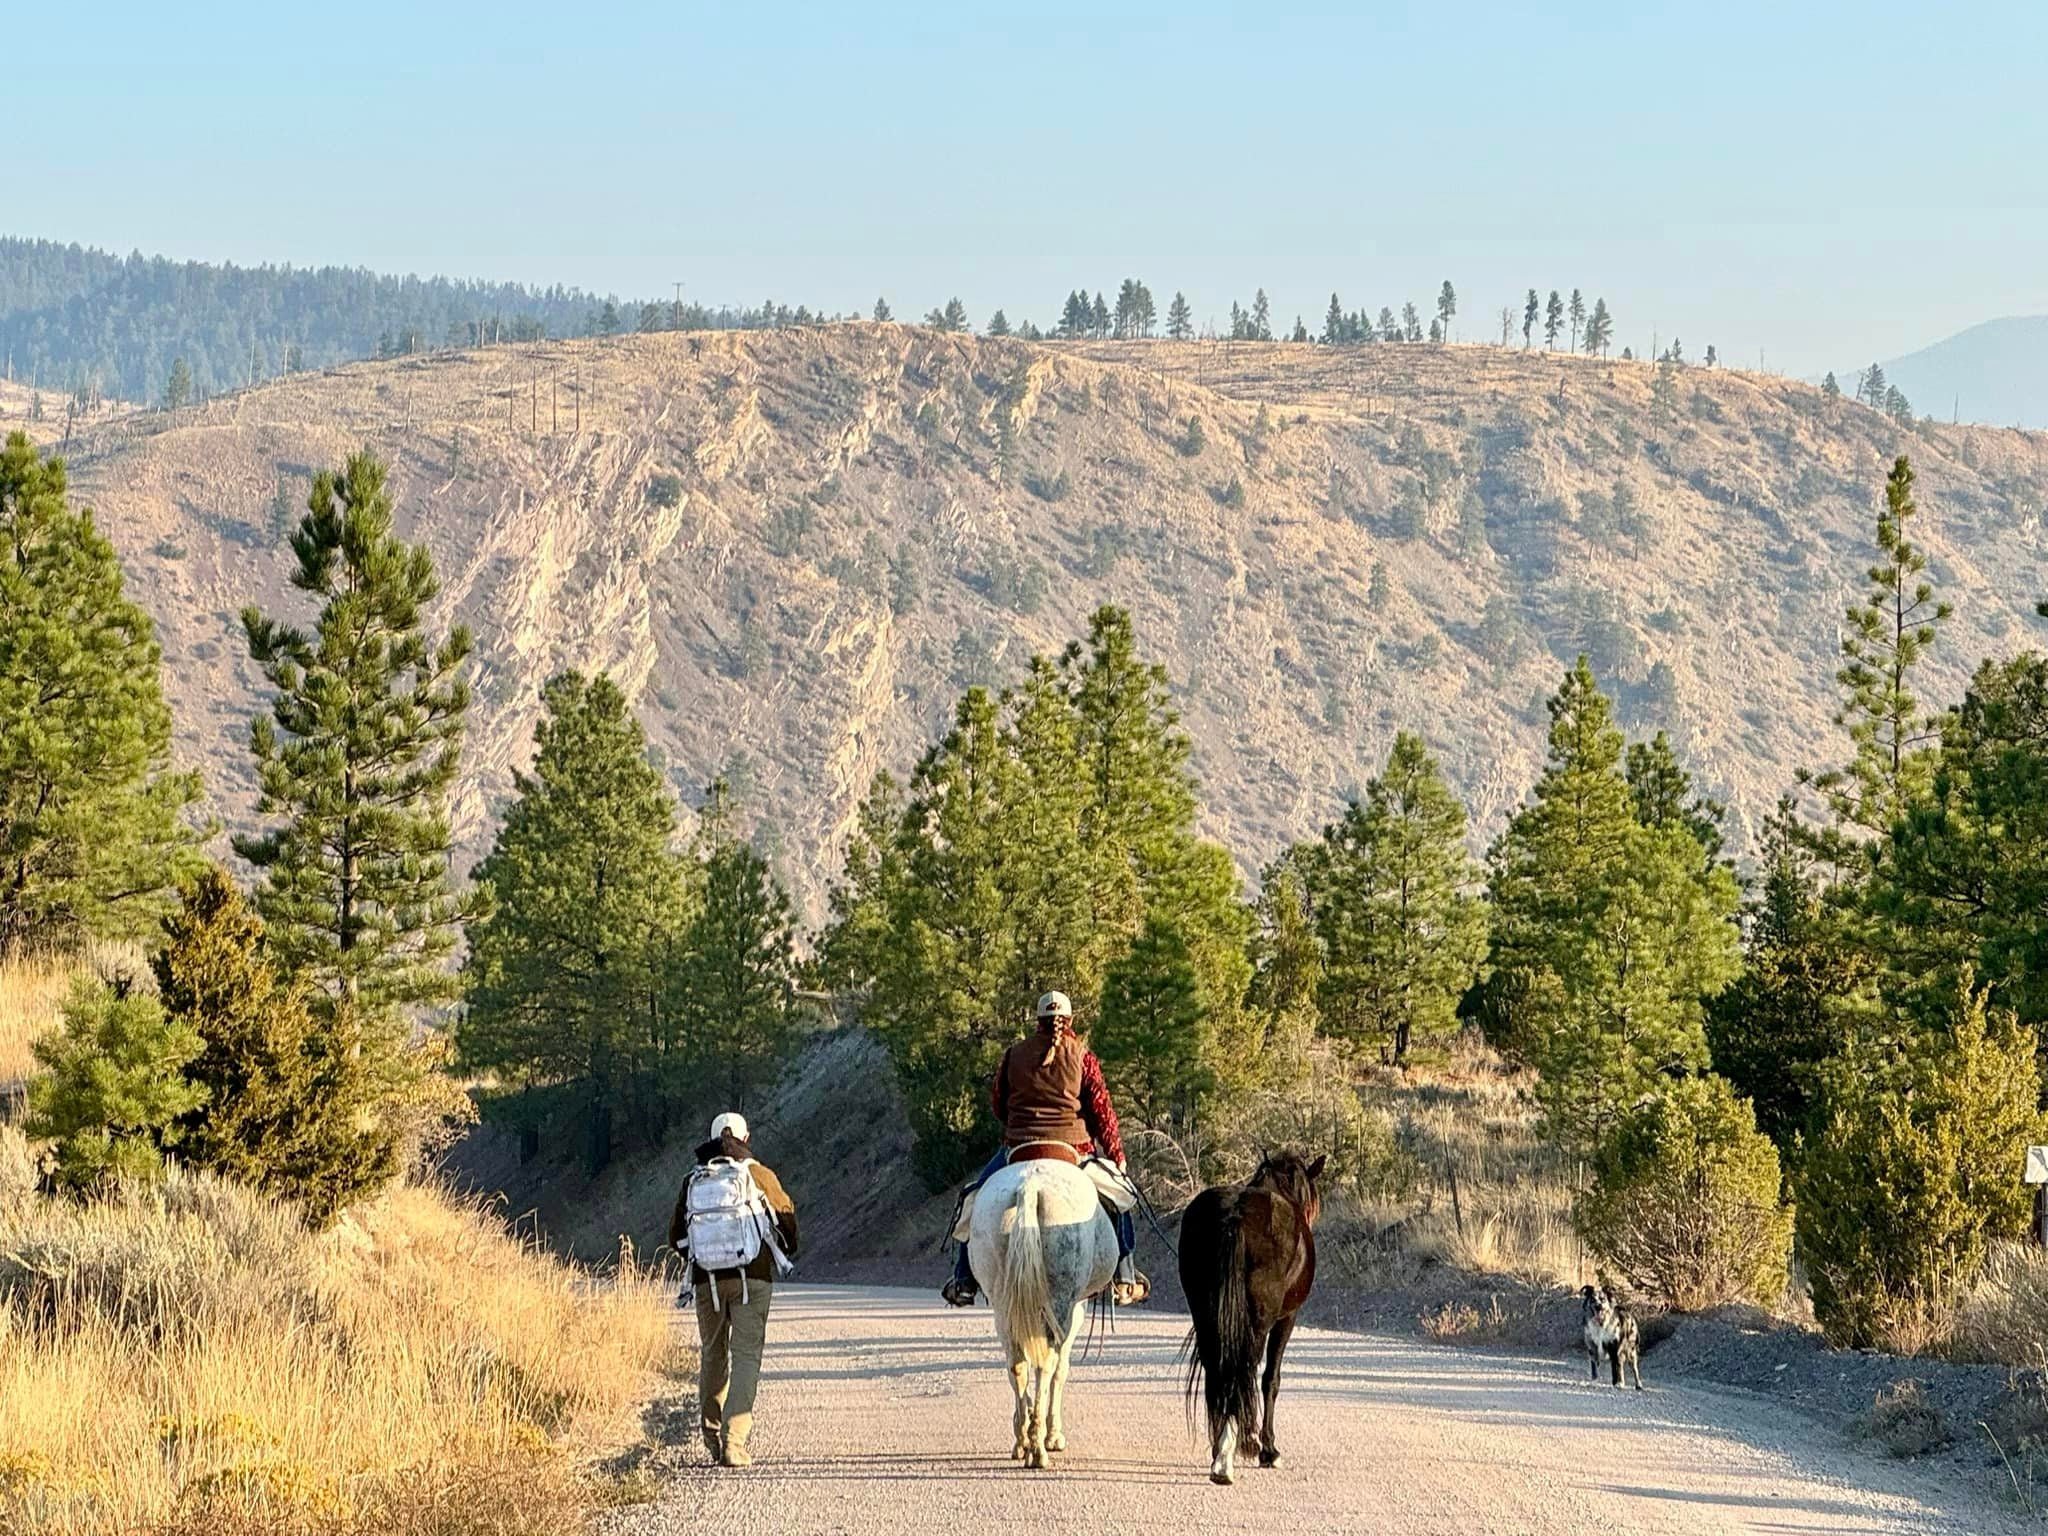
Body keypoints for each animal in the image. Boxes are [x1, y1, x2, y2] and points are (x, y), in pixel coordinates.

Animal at [962, 1163, 1114, 1474]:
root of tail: (1029, 1188)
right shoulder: (1074, 1310)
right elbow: (1061, 1370)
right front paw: (1053, 1435)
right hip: (1061, 1300)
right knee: (1046, 1365)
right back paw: (1039, 1447)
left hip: (1002, 1304)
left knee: (1016, 1365)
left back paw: (1023, 1441)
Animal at [1179, 1146, 1318, 1482]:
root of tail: (1235, 1215)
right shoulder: (1286, 1319)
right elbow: (1270, 1379)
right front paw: (1269, 1449)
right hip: (1258, 1322)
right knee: (1244, 1370)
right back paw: (1237, 1448)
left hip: (1205, 1316)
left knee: (1218, 1370)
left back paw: (1220, 1449)